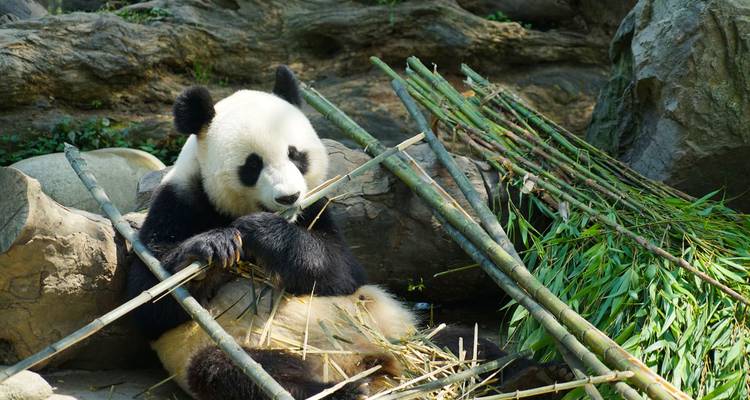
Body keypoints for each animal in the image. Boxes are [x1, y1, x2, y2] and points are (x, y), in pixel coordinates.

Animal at [126, 66, 572, 400]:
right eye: (252, 165)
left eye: (296, 155)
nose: (288, 197)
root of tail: (363, 362)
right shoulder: (178, 201)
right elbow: (149, 302)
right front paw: (213, 246)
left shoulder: (317, 210)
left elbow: (341, 271)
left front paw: (260, 232)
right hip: (239, 349)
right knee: (244, 377)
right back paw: (345, 392)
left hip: (400, 329)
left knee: (464, 342)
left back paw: (534, 374)